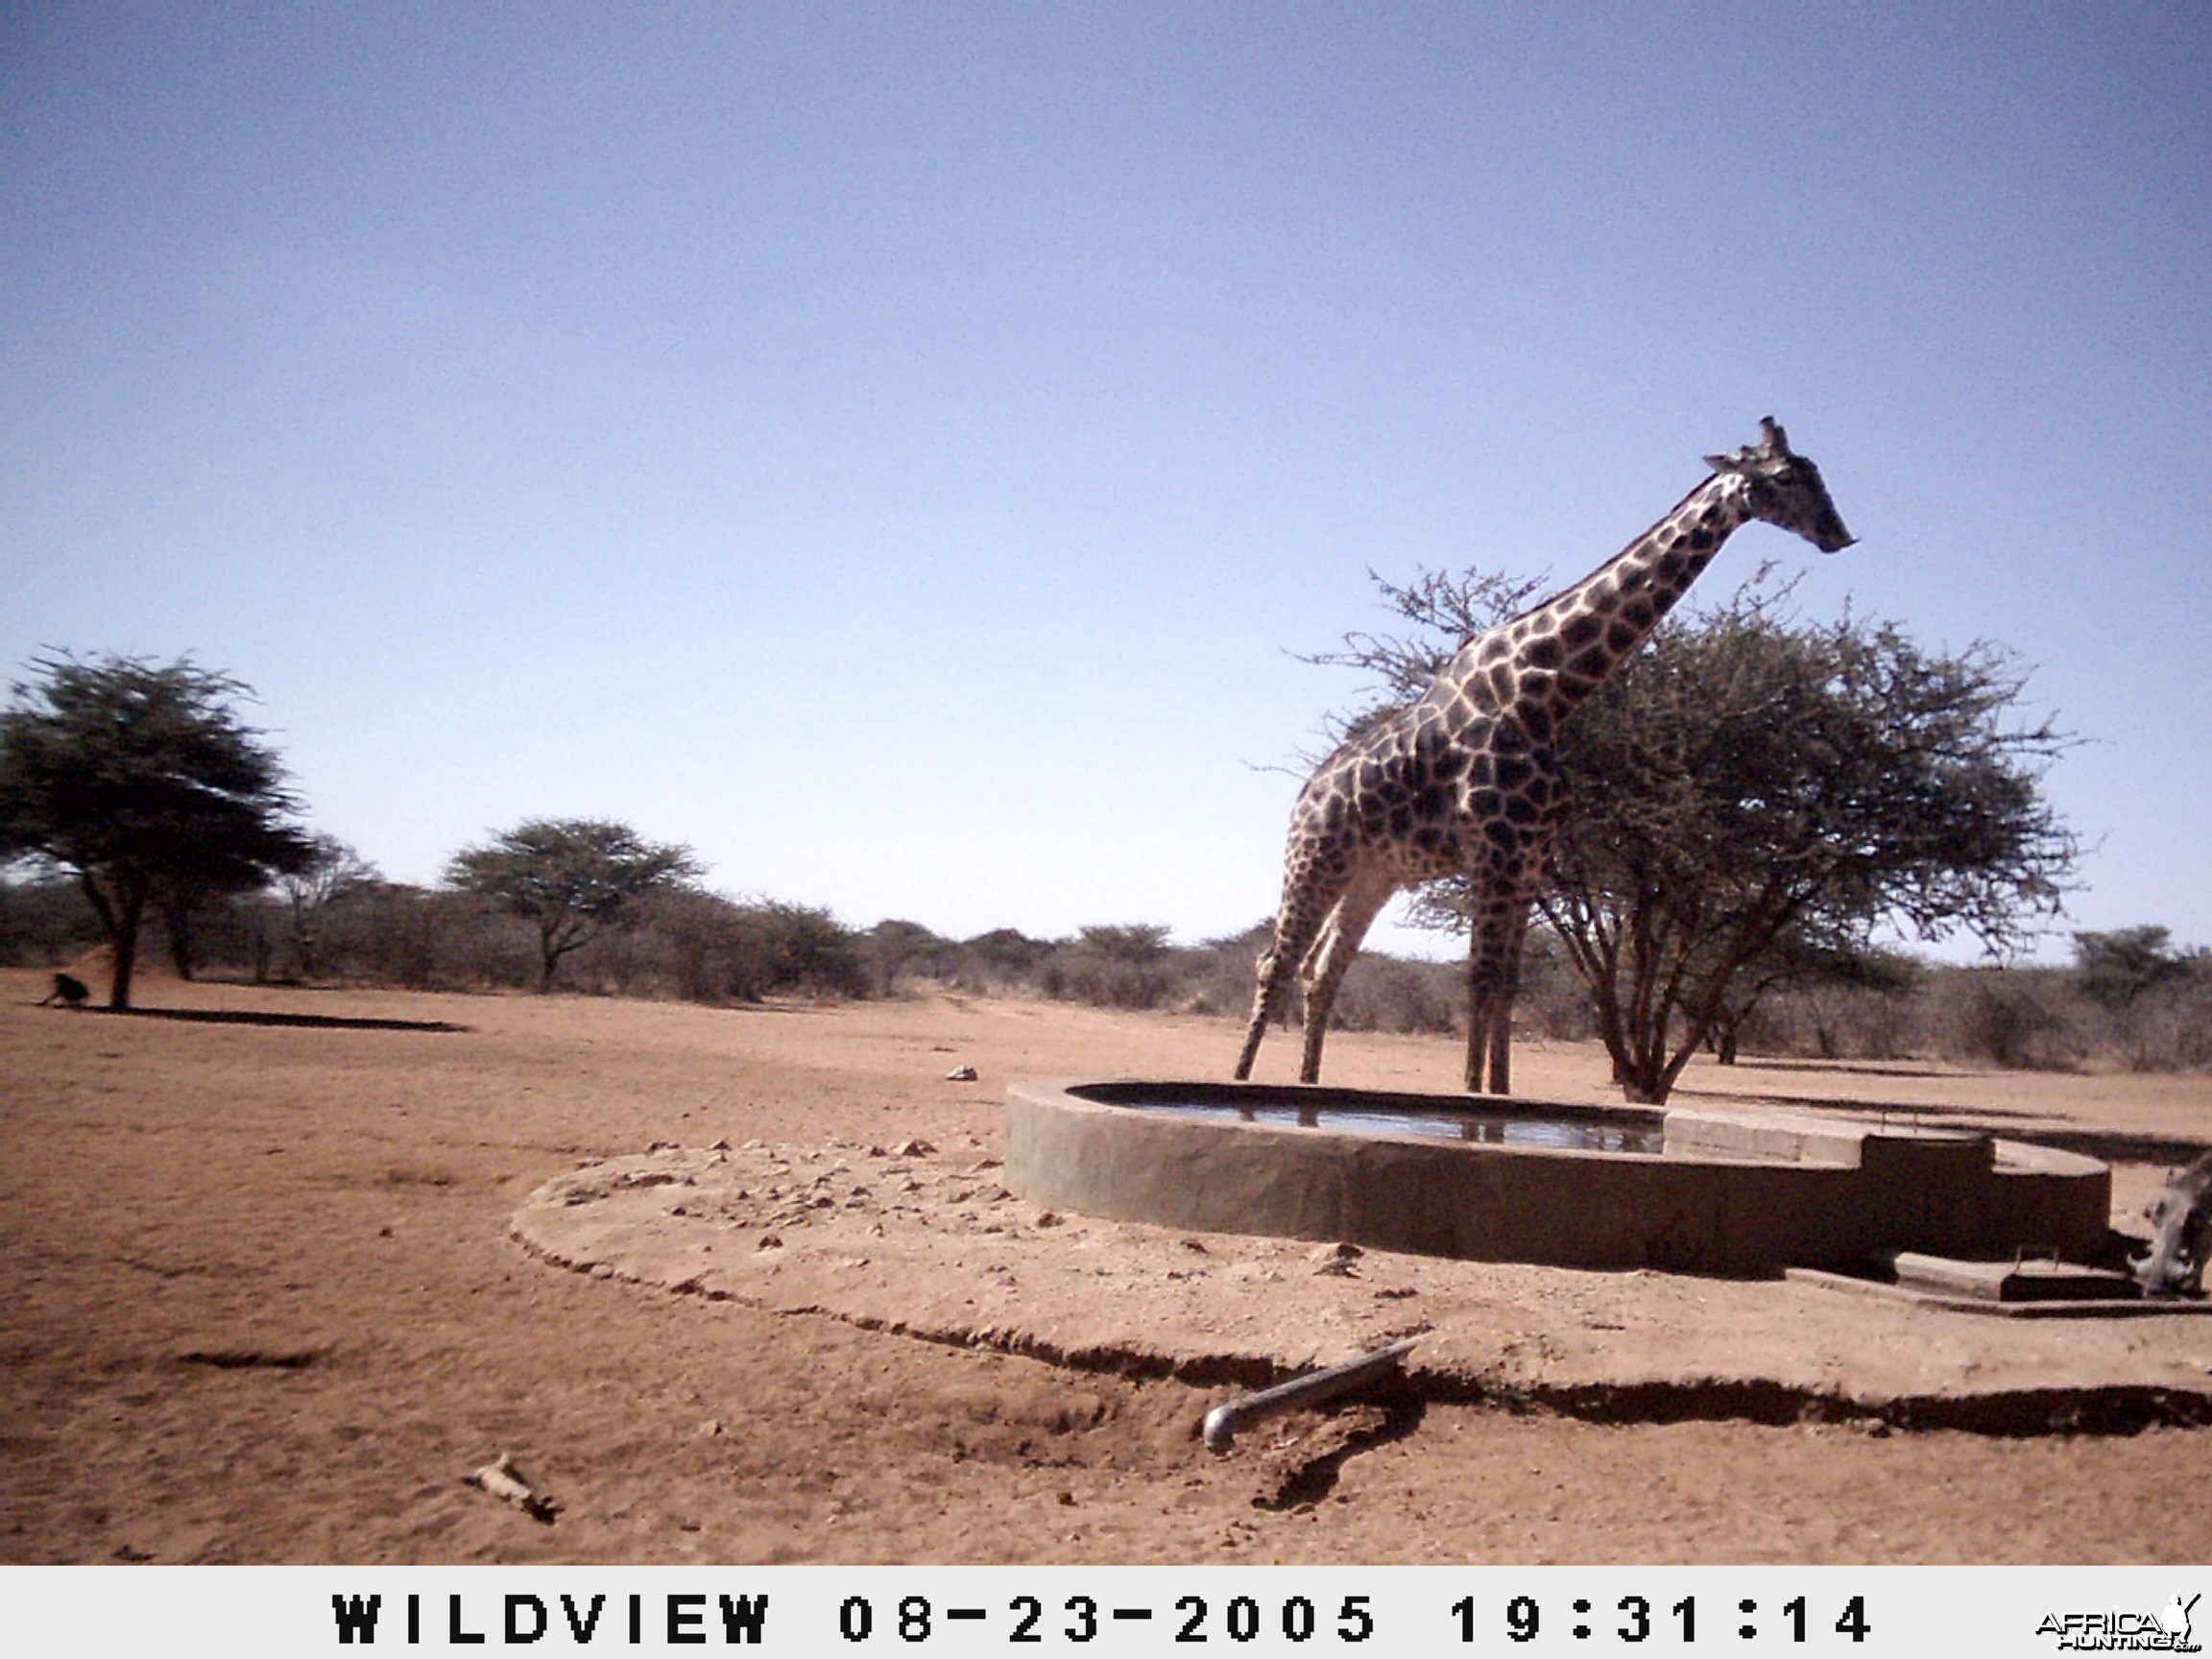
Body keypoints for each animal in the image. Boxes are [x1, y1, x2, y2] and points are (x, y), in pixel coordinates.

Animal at [1238, 416, 1858, 1096]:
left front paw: (1500, 1095)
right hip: (1315, 860)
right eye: (1785, 478)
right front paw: (1471, 1100)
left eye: (1817, 472)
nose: (1839, 536)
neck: (1547, 692)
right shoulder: (1494, 849)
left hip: (1372, 876)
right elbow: (1480, 979)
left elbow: (1507, 984)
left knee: (1323, 971)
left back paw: (1309, 1088)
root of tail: (1303, 797)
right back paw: (1242, 1084)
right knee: (1275, 963)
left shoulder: (1531, 856)